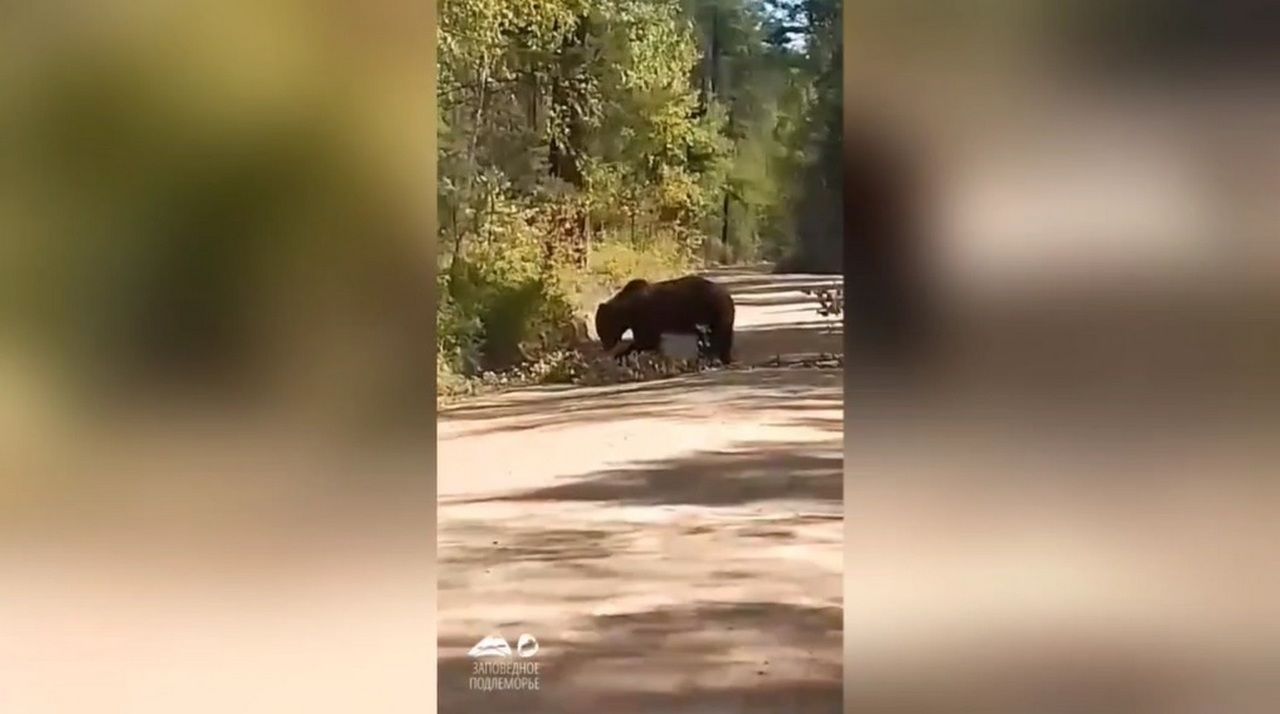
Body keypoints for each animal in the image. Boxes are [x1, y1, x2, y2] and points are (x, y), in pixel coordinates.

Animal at [593, 273, 737, 363]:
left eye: (602, 329)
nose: (606, 346)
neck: (627, 311)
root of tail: (727, 295)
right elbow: (650, 342)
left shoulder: (644, 317)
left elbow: (646, 341)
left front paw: (620, 354)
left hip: (713, 311)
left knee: (719, 335)